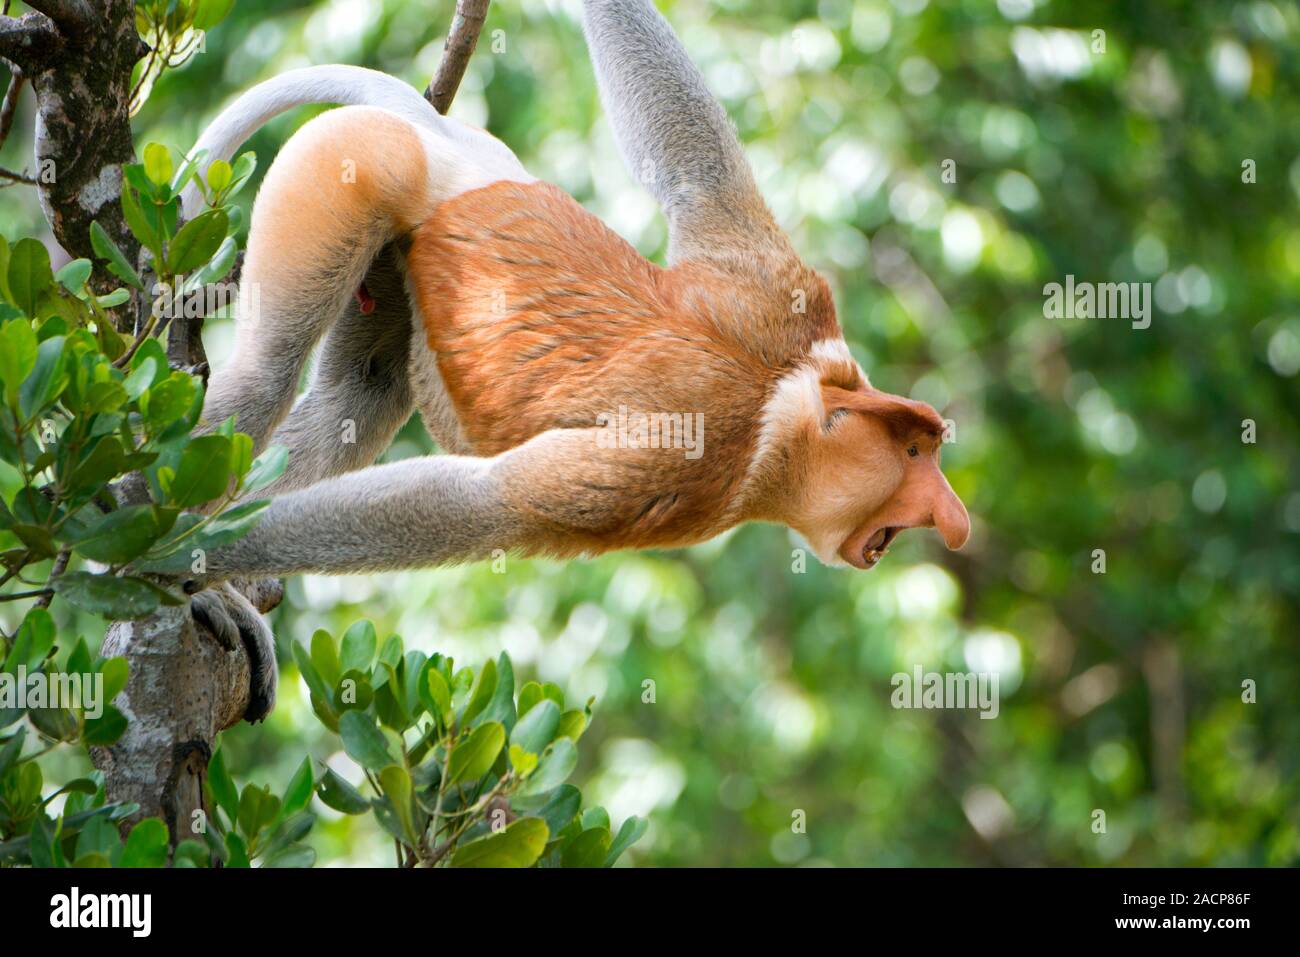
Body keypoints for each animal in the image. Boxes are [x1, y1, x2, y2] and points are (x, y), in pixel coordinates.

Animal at [172, 0, 971, 722]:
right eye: (913, 452)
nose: (955, 520)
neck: (786, 403)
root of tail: (451, 150)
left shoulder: (773, 287)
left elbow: (695, 176)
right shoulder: (669, 461)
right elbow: (486, 502)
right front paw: (176, 562)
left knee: (359, 393)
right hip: (348, 169)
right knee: (267, 371)